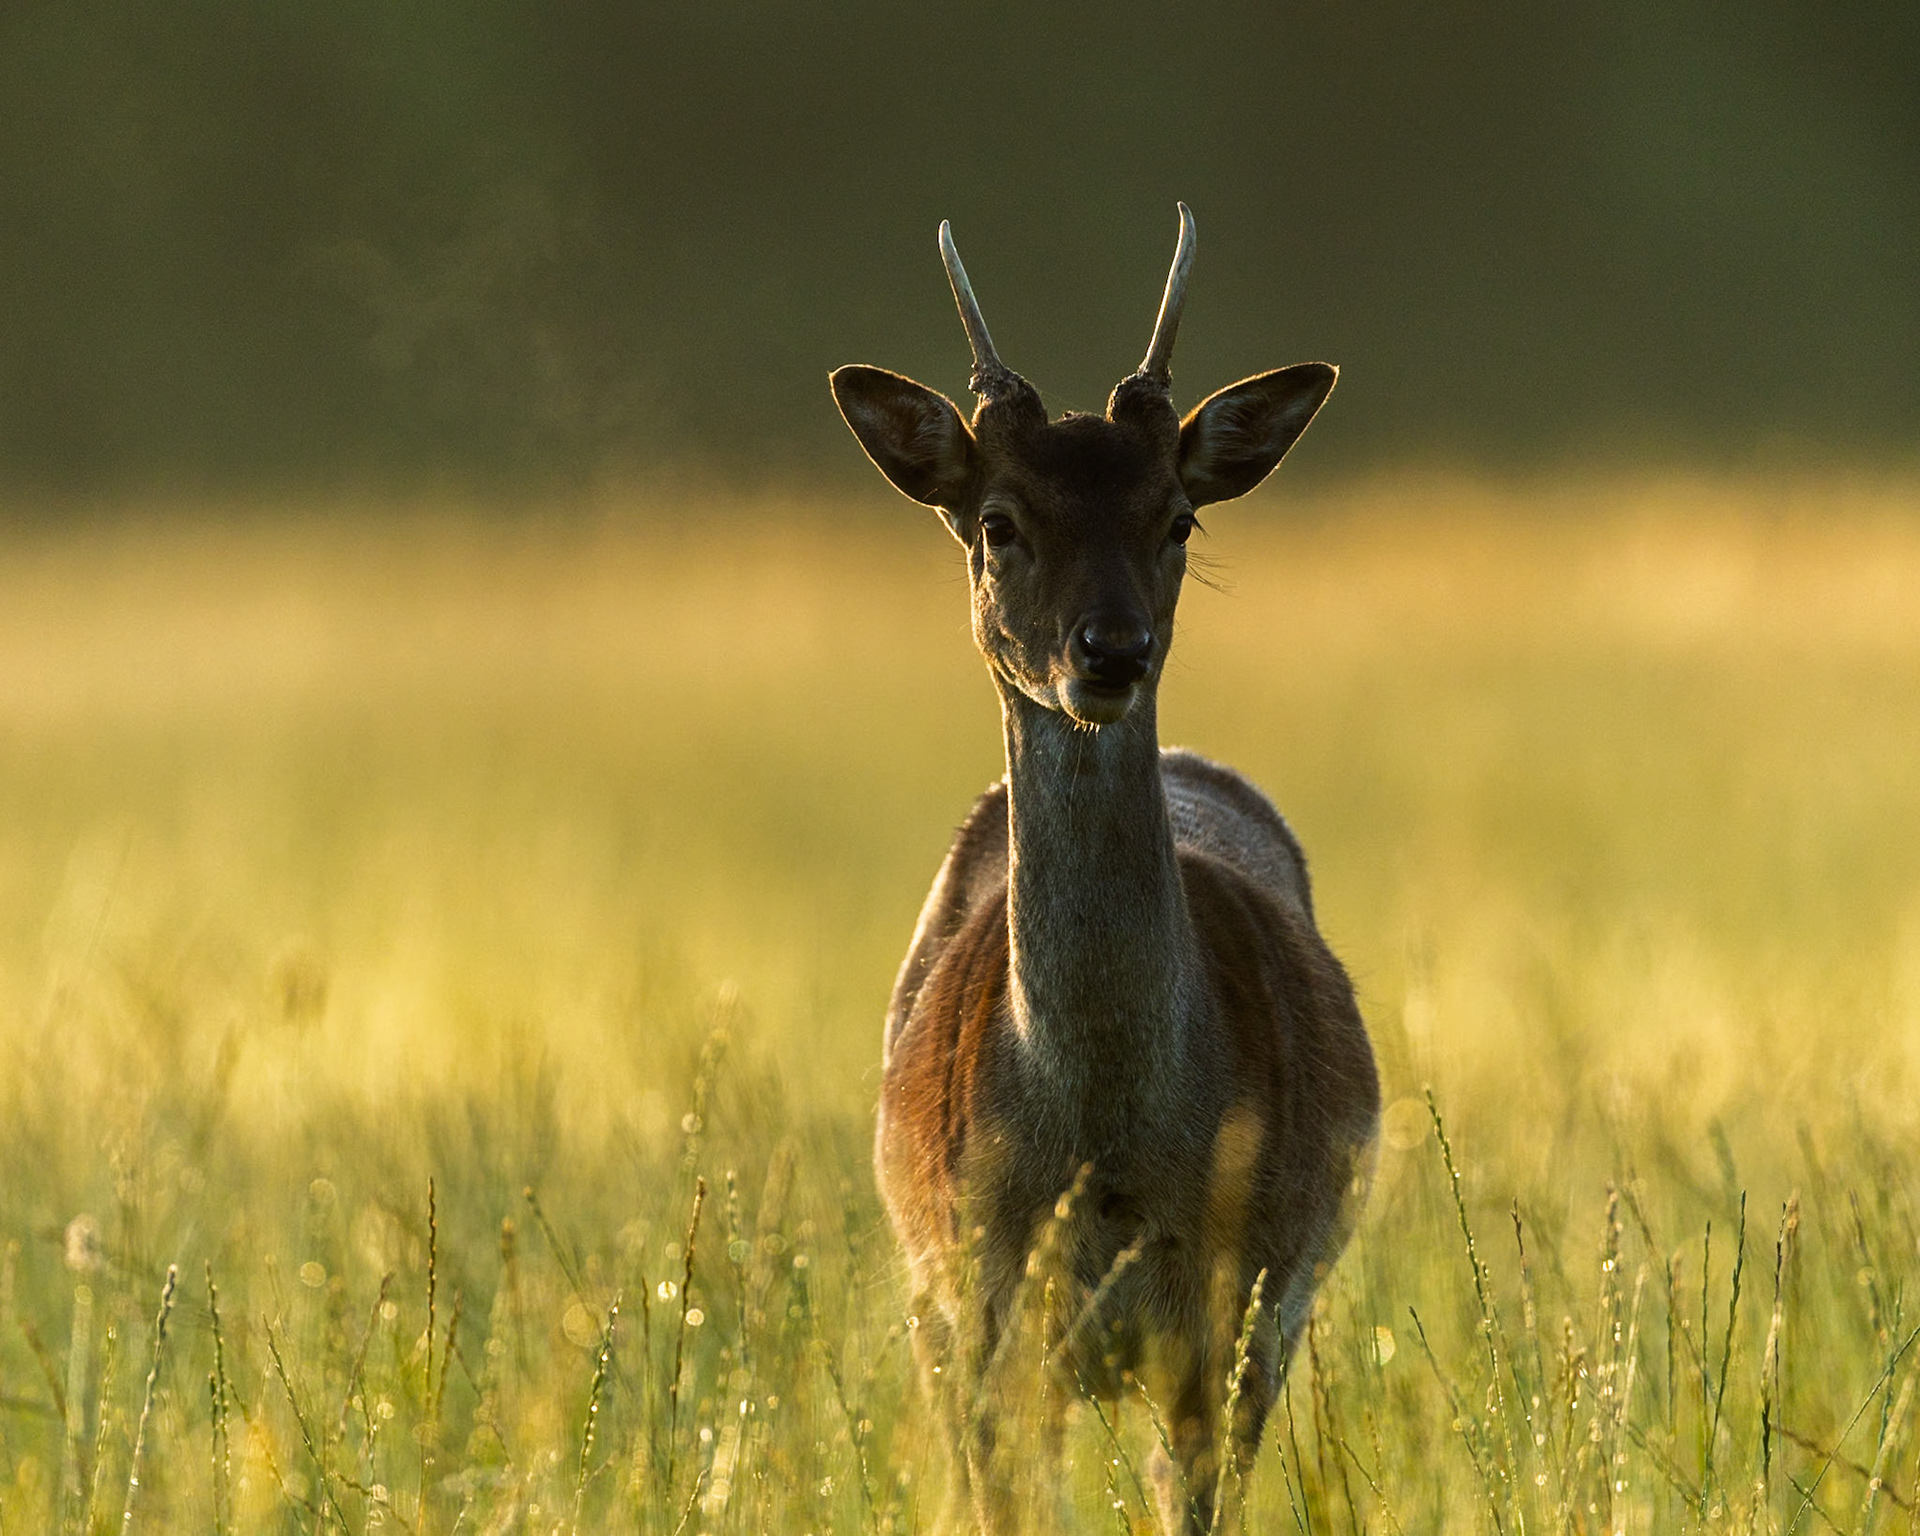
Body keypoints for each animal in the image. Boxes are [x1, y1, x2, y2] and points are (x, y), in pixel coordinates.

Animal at [829, 206, 1379, 1536]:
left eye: (1178, 517)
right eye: (998, 520)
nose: (1112, 651)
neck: (1115, 1164)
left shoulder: (1240, 1322)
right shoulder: (981, 1319)